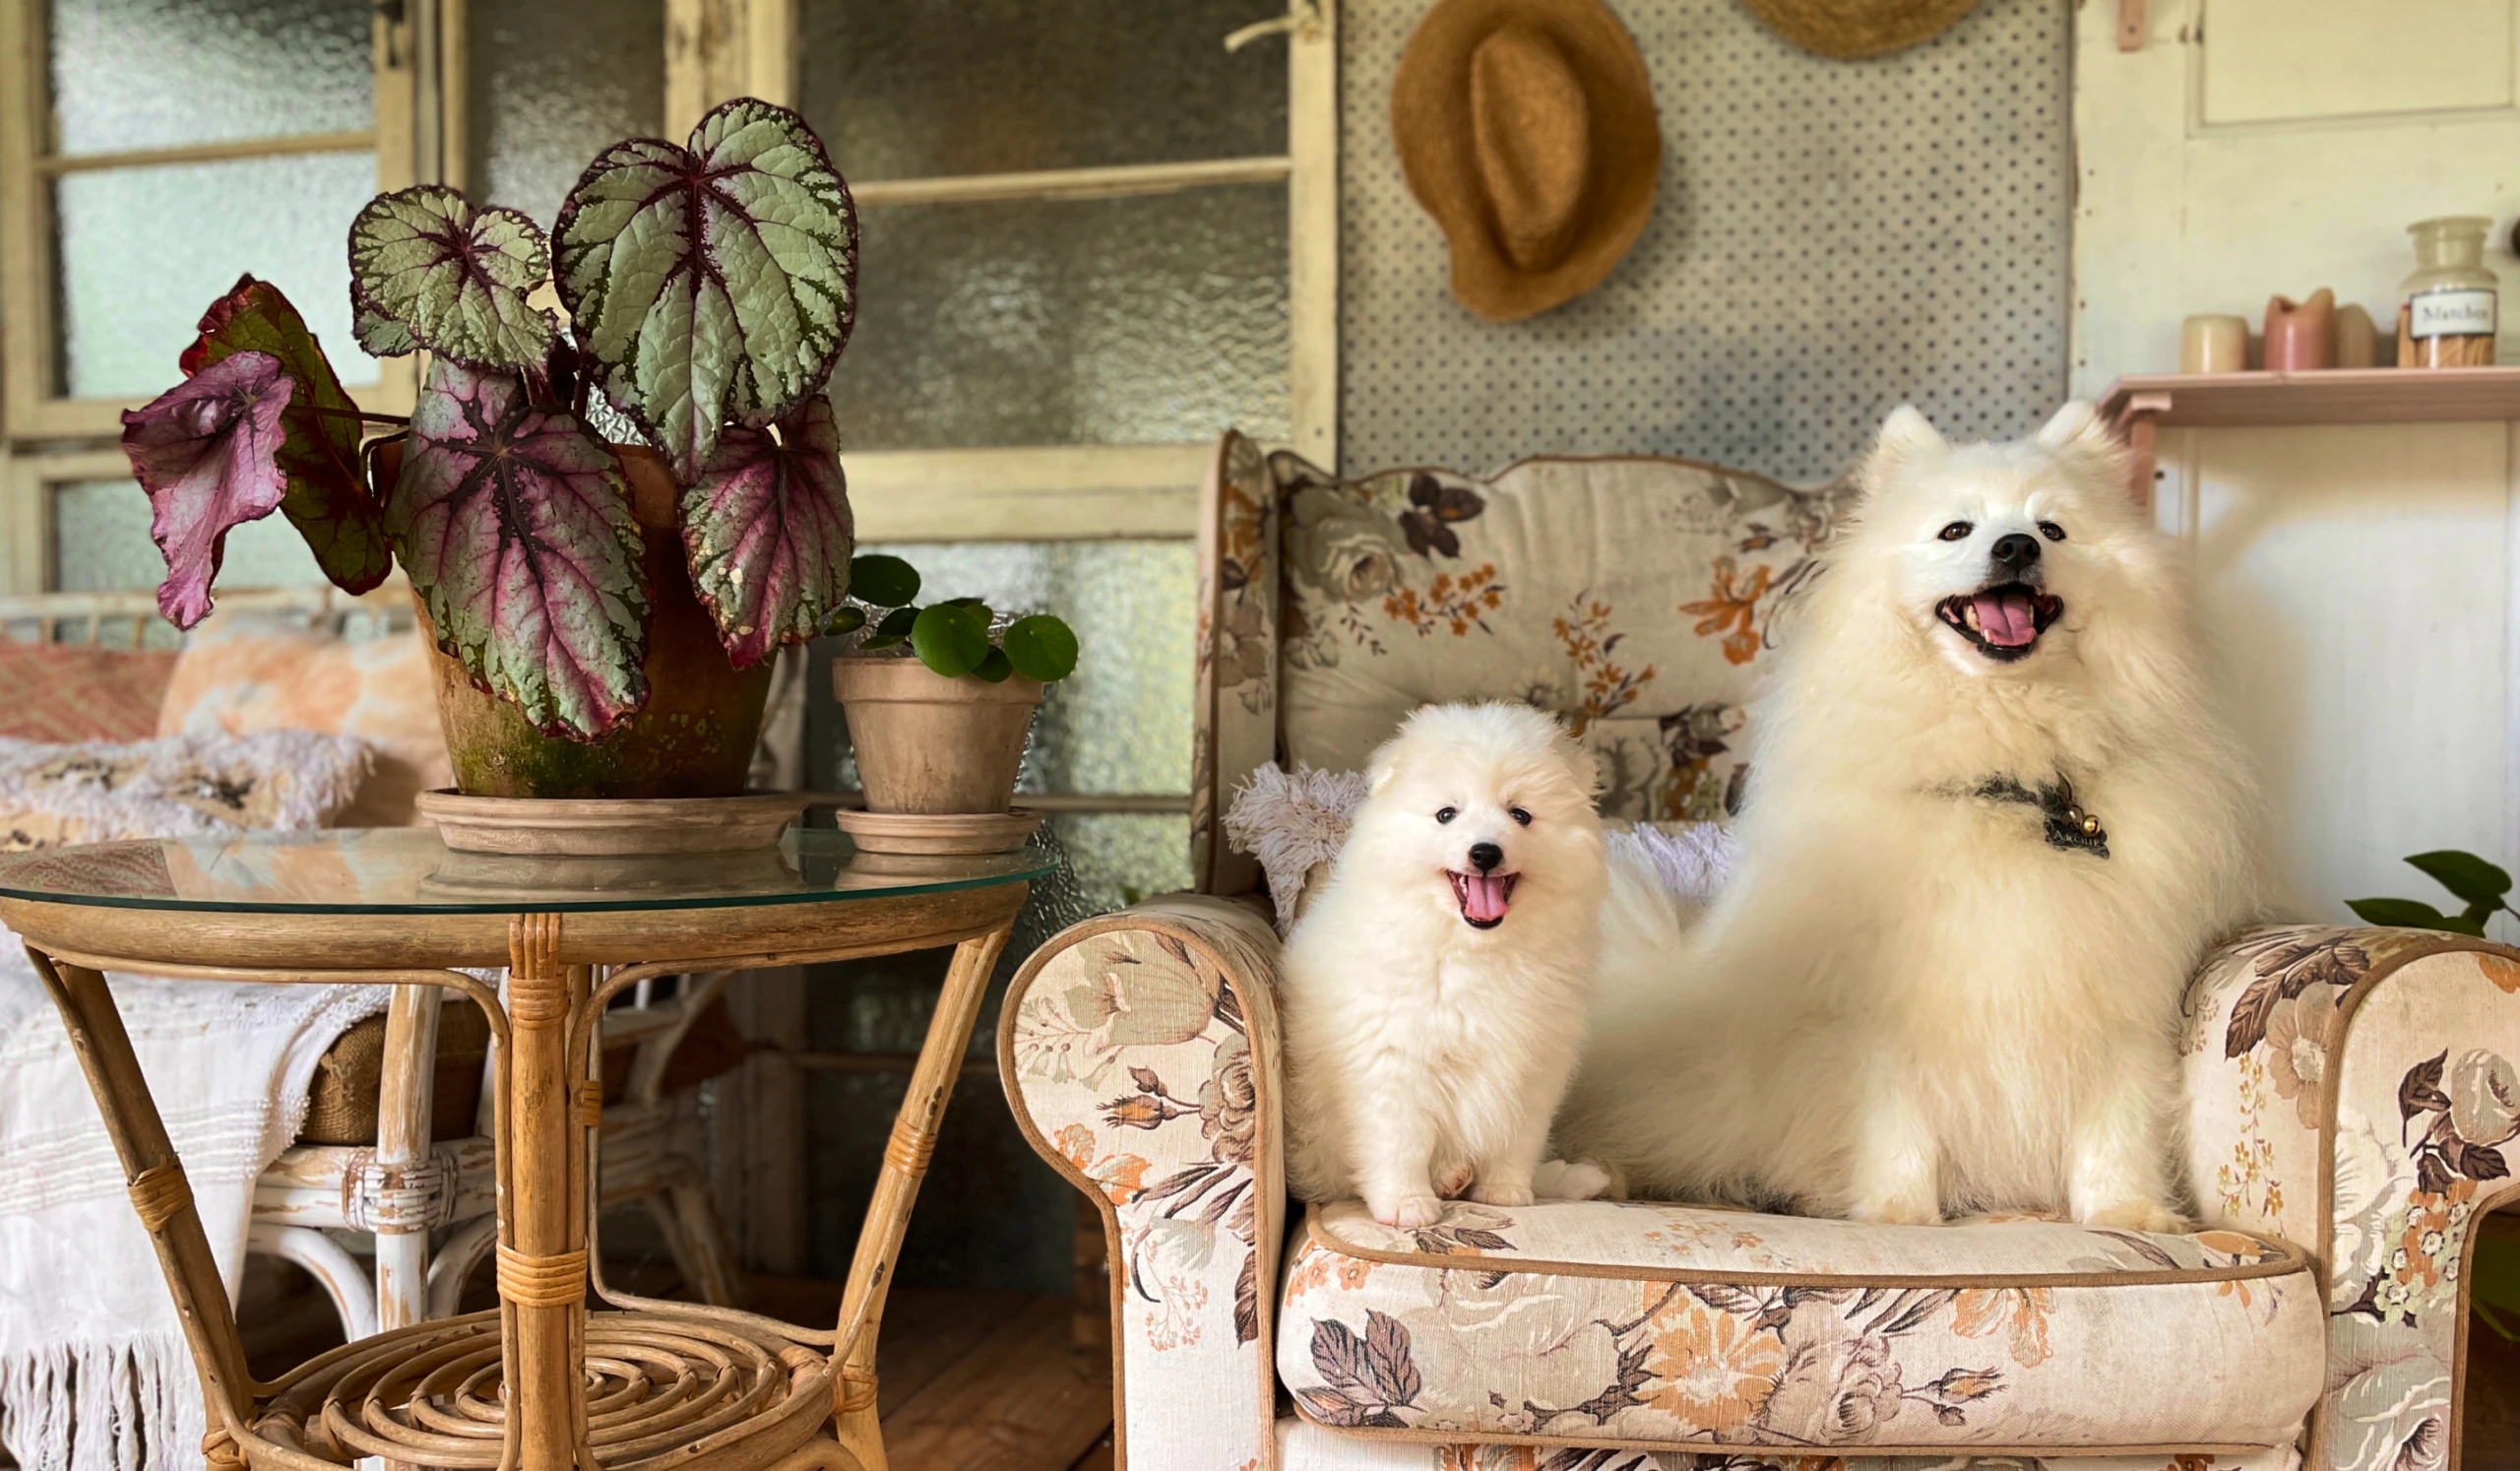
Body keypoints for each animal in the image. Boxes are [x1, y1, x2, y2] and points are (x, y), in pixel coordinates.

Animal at [1290, 700, 1603, 1229]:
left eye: (1521, 815)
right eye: (1446, 814)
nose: (1485, 852)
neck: (1471, 950)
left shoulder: (1535, 1062)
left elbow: (1519, 1138)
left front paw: (1506, 1193)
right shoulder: (1394, 1058)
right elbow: (1402, 1141)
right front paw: (1407, 1206)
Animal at [1551, 403, 2268, 1229]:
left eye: (2052, 529)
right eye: (1956, 530)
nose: (2015, 545)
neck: (2007, 770)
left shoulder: (2118, 1005)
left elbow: (2117, 1125)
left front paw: (2131, 1215)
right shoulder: (1887, 1020)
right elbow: (1898, 1126)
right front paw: (1899, 1217)